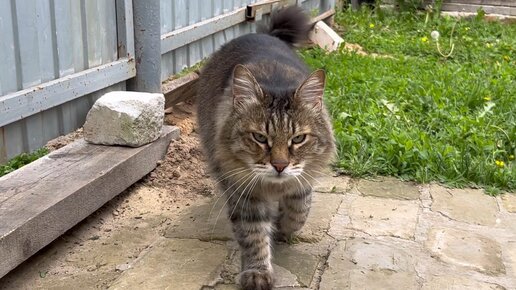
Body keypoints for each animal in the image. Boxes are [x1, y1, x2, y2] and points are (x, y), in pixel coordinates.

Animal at [197, 6, 334, 290]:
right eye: (260, 137)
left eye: (298, 139)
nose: (279, 165)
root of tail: (263, 34)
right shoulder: (243, 192)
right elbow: (253, 235)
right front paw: (257, 273)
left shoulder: (303, 181)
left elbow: (299, 211)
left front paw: (283, 226)